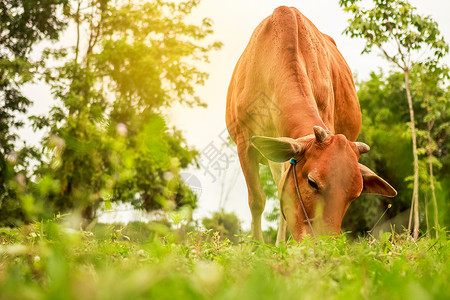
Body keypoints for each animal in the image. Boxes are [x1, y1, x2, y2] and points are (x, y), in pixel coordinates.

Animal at [227, 5, 396, 244]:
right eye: (312, 182)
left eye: (354, 195)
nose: (326, 243)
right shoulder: (244, 143)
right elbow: (257, 200)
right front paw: (256, 247)